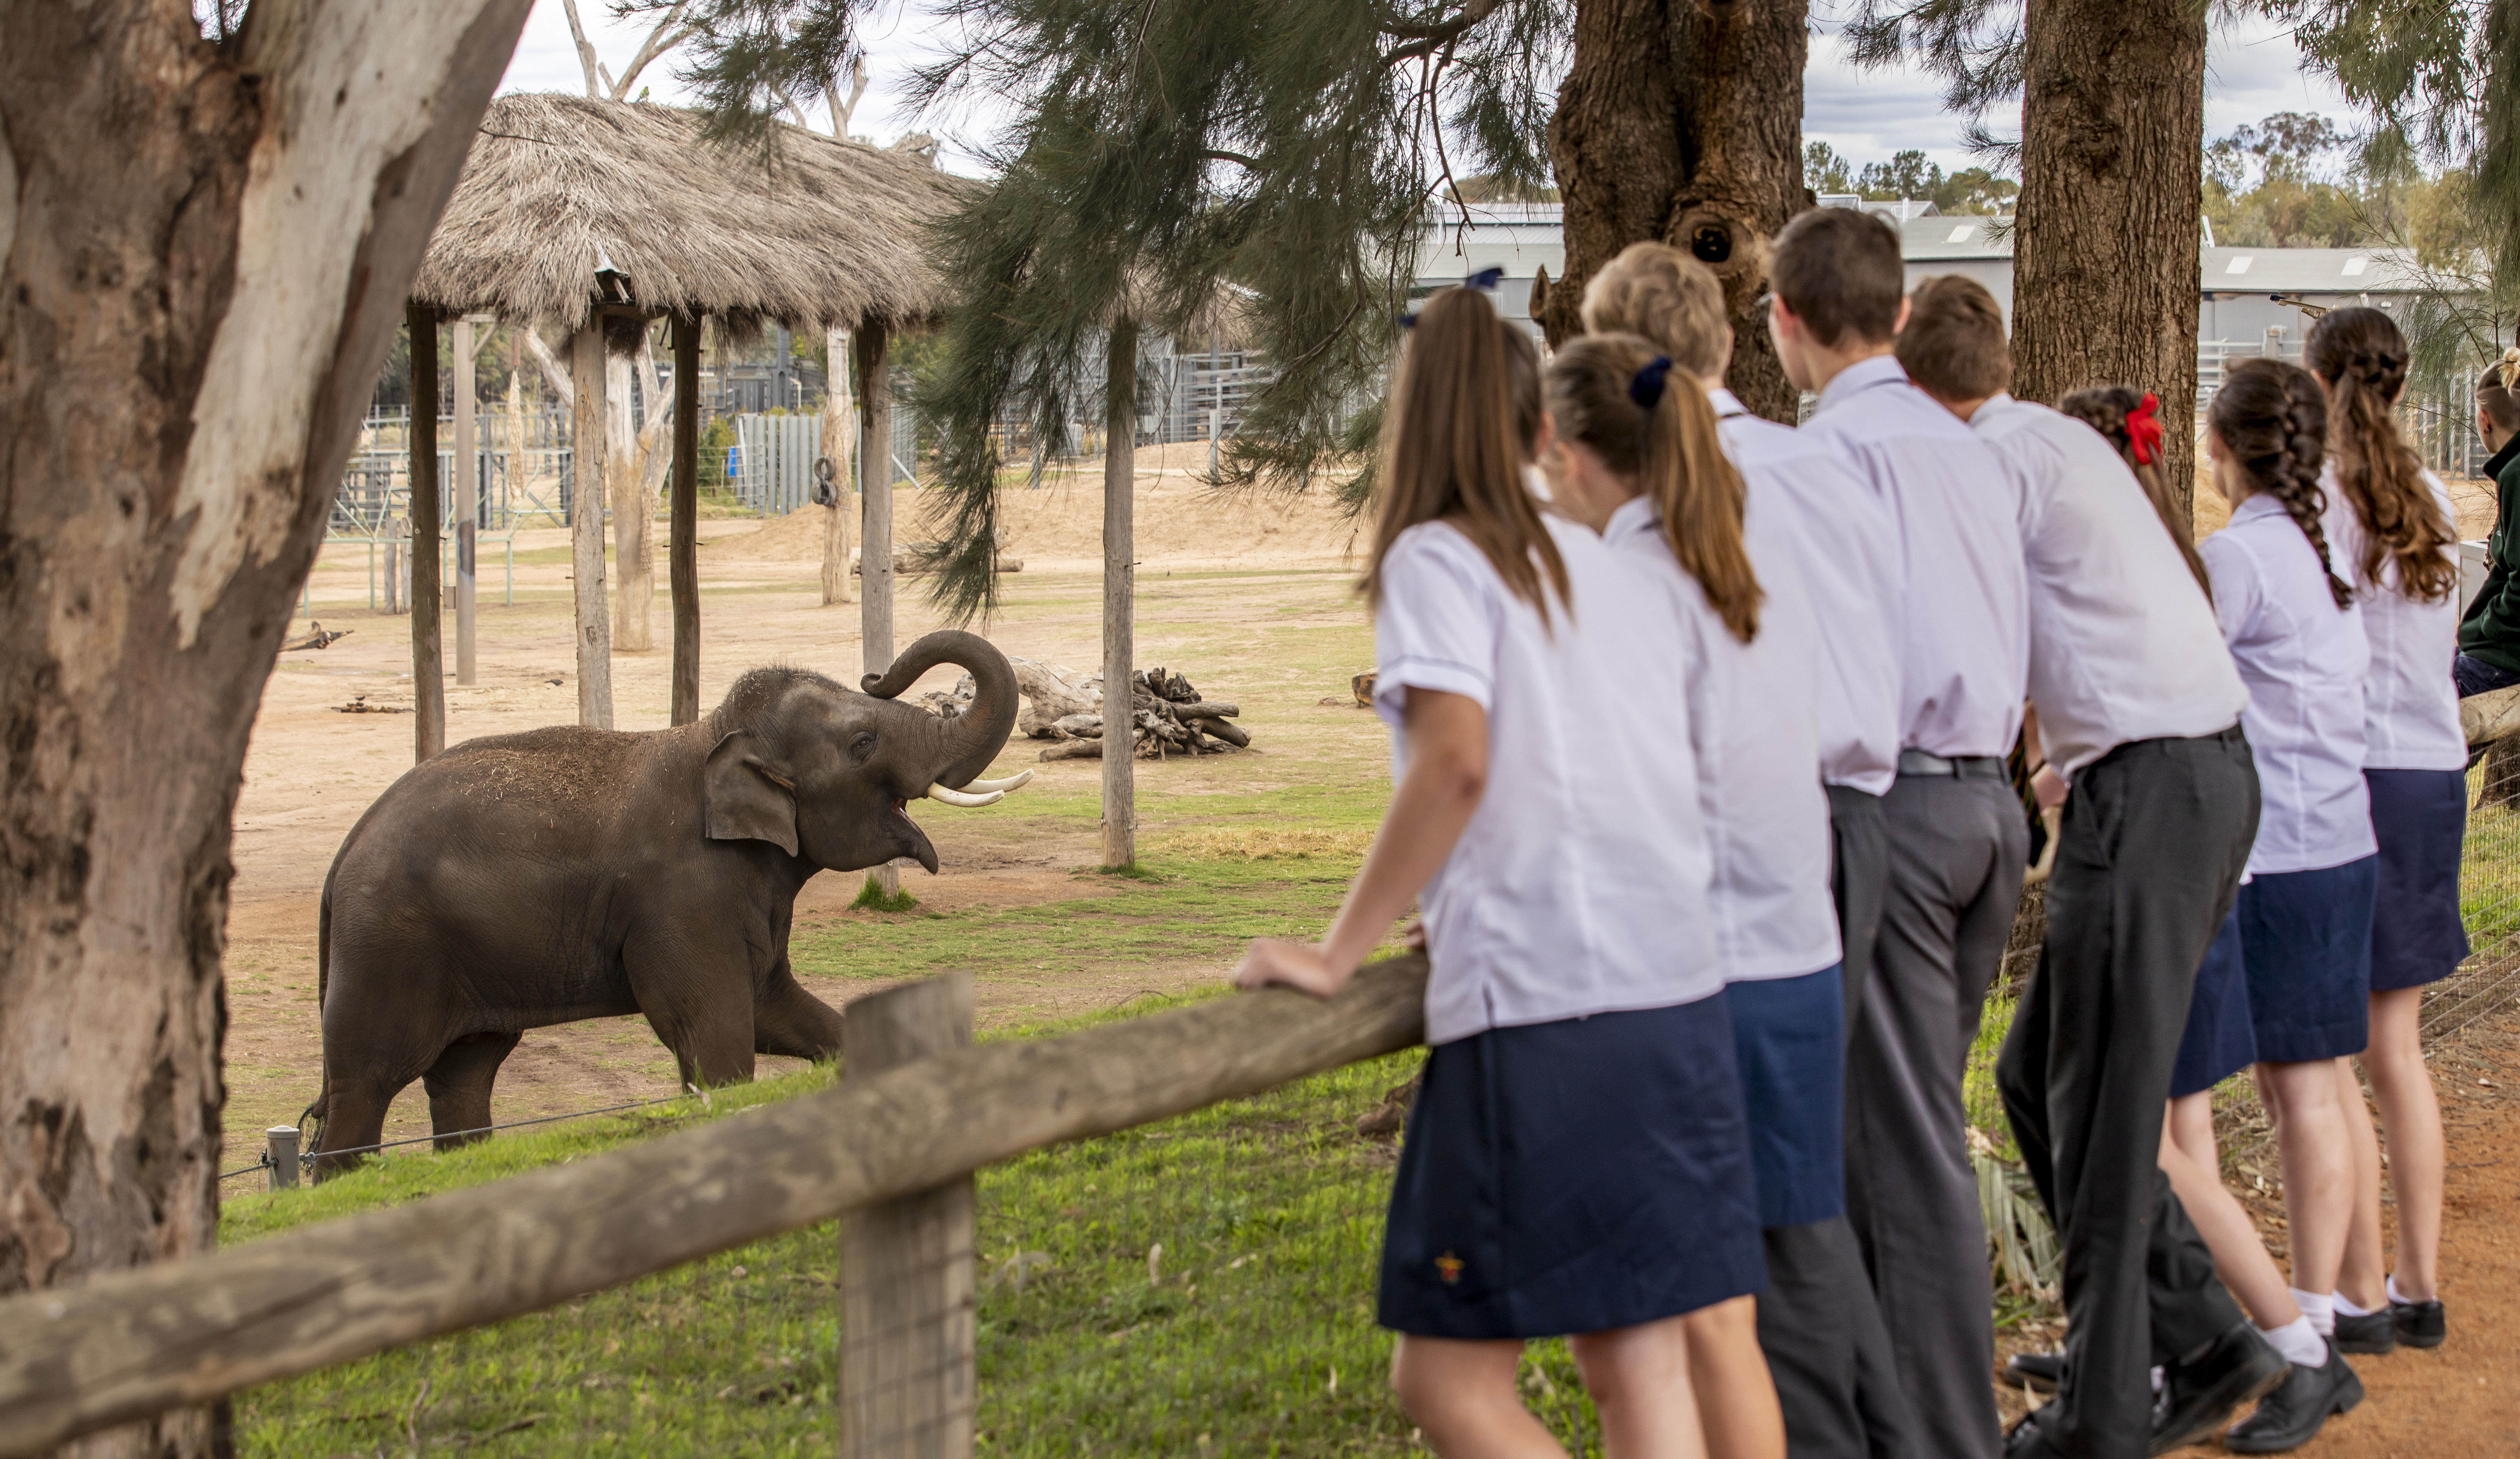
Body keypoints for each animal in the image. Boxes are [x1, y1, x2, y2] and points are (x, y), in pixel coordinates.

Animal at [305, 629, 1029, 1174]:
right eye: (862, 743)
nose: (875, 673)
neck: (714, 737)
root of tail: (341, 856)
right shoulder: (683, 899)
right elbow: (717, 1036)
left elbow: (778, 1010)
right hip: (387, 949)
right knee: (365, 1083)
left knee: (465, 1072)